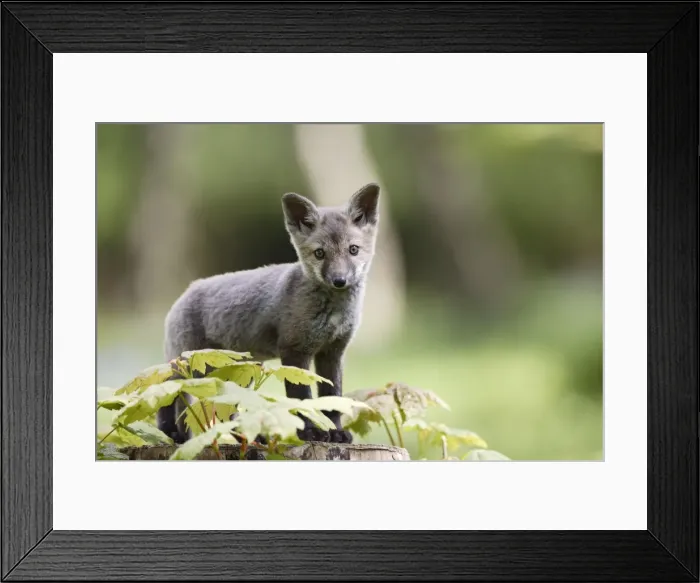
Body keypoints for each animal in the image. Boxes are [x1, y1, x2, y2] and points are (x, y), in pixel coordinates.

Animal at [156, 182, 381, 445]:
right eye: (320, 253)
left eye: (353, 250)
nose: (339, 280)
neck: (333, 312)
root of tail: (188, 290)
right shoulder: (294, 350)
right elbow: (301, 398)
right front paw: (310, 432)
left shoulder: (332, 353)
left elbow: (333, 398)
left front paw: (335, 431)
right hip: (188, 365)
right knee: (166, 389)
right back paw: (170, 431)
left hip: (235, 374)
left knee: (226, 411)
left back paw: (247, 437)